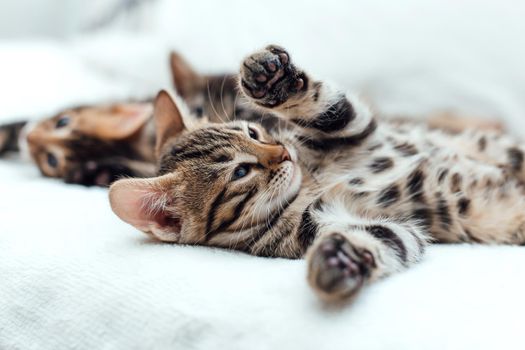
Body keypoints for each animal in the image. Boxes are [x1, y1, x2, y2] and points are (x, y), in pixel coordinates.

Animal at [108, 44, 524, 300]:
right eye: (241, 172)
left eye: (253, 131)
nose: (283, 152)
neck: (309, 180)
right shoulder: (354, 224)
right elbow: (387, 239)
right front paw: (341, 259)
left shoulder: (355, 129)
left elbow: (325, 104)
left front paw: (269, 77)